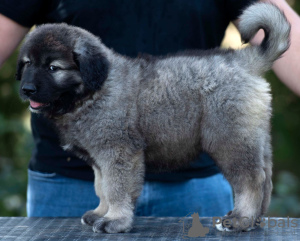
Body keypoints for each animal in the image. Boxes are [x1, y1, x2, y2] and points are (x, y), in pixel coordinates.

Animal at [17, 2, 290, 233]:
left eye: (53, 68)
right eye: (28, 63)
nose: (26, 89)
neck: (93, 91)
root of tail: (244, 61)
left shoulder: (118, 151)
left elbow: (116, 188)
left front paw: (115, 220)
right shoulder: (100, 158)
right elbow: (102, 187)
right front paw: (101, 213)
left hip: (229, 138)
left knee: (251, 179)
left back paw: (241, 219)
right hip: (255, 136)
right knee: (265, 177)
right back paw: (254, 220)